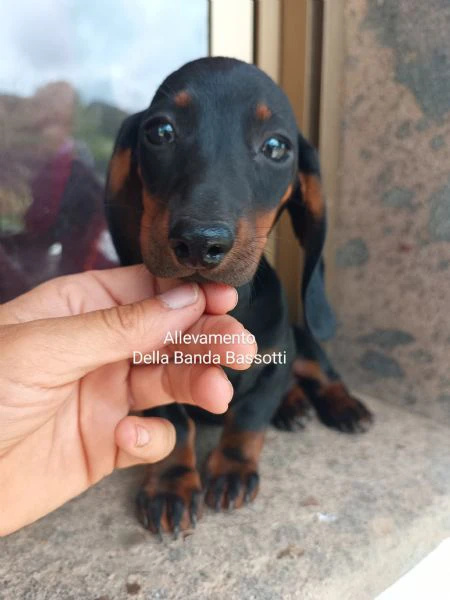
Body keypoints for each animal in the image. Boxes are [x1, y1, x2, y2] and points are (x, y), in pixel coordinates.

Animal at [106, 57, 372, 540]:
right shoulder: (149, 376)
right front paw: (171, 485)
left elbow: (247, 419)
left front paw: (232, 471)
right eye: (160, 131)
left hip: (303, 341)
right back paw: (294, 407)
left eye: (276, 146)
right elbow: (176, 425)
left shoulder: (272, 362)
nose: (199, 241)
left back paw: (341, 407)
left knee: (322, 373)